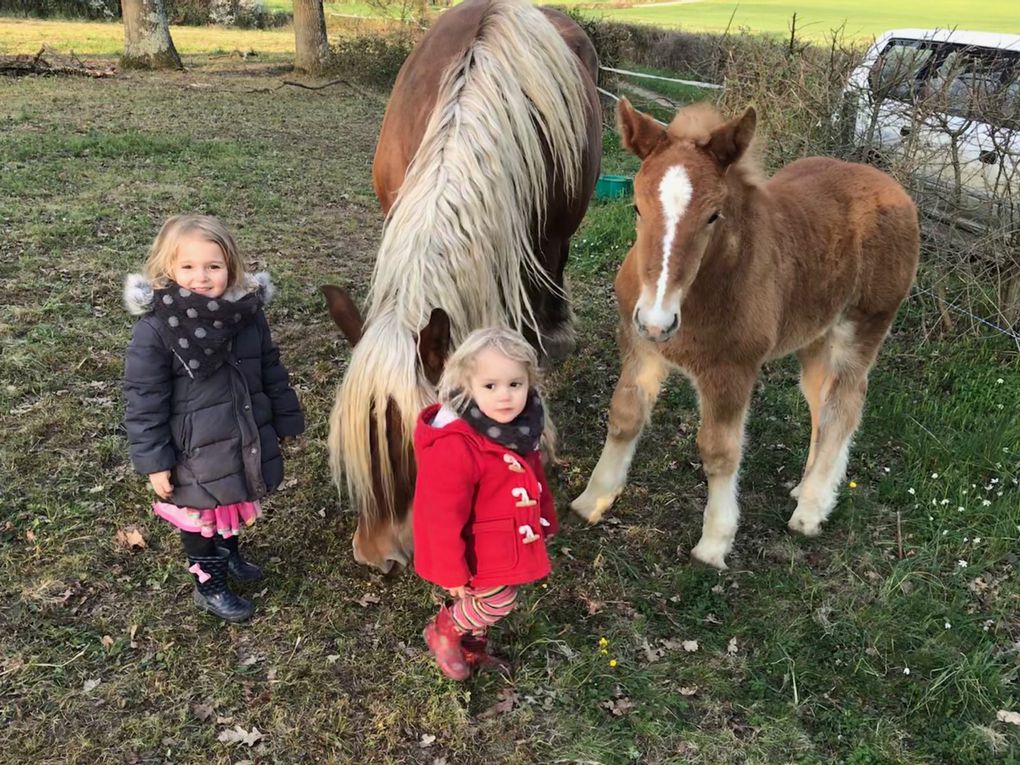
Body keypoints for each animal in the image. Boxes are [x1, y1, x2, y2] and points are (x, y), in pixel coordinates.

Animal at [575, 100, 918, 571]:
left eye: (713, 215)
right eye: (637, 208)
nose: (659, 320)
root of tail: (893, 186)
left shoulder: (731, 371)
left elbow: (719, 452)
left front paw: (715, 542)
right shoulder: (640, 347)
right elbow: (625, 417)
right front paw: (592, 499)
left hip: (862, 326)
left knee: (843, 407)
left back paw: (811, 509)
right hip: (814, 335)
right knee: (821, 401)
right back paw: (808, 487)